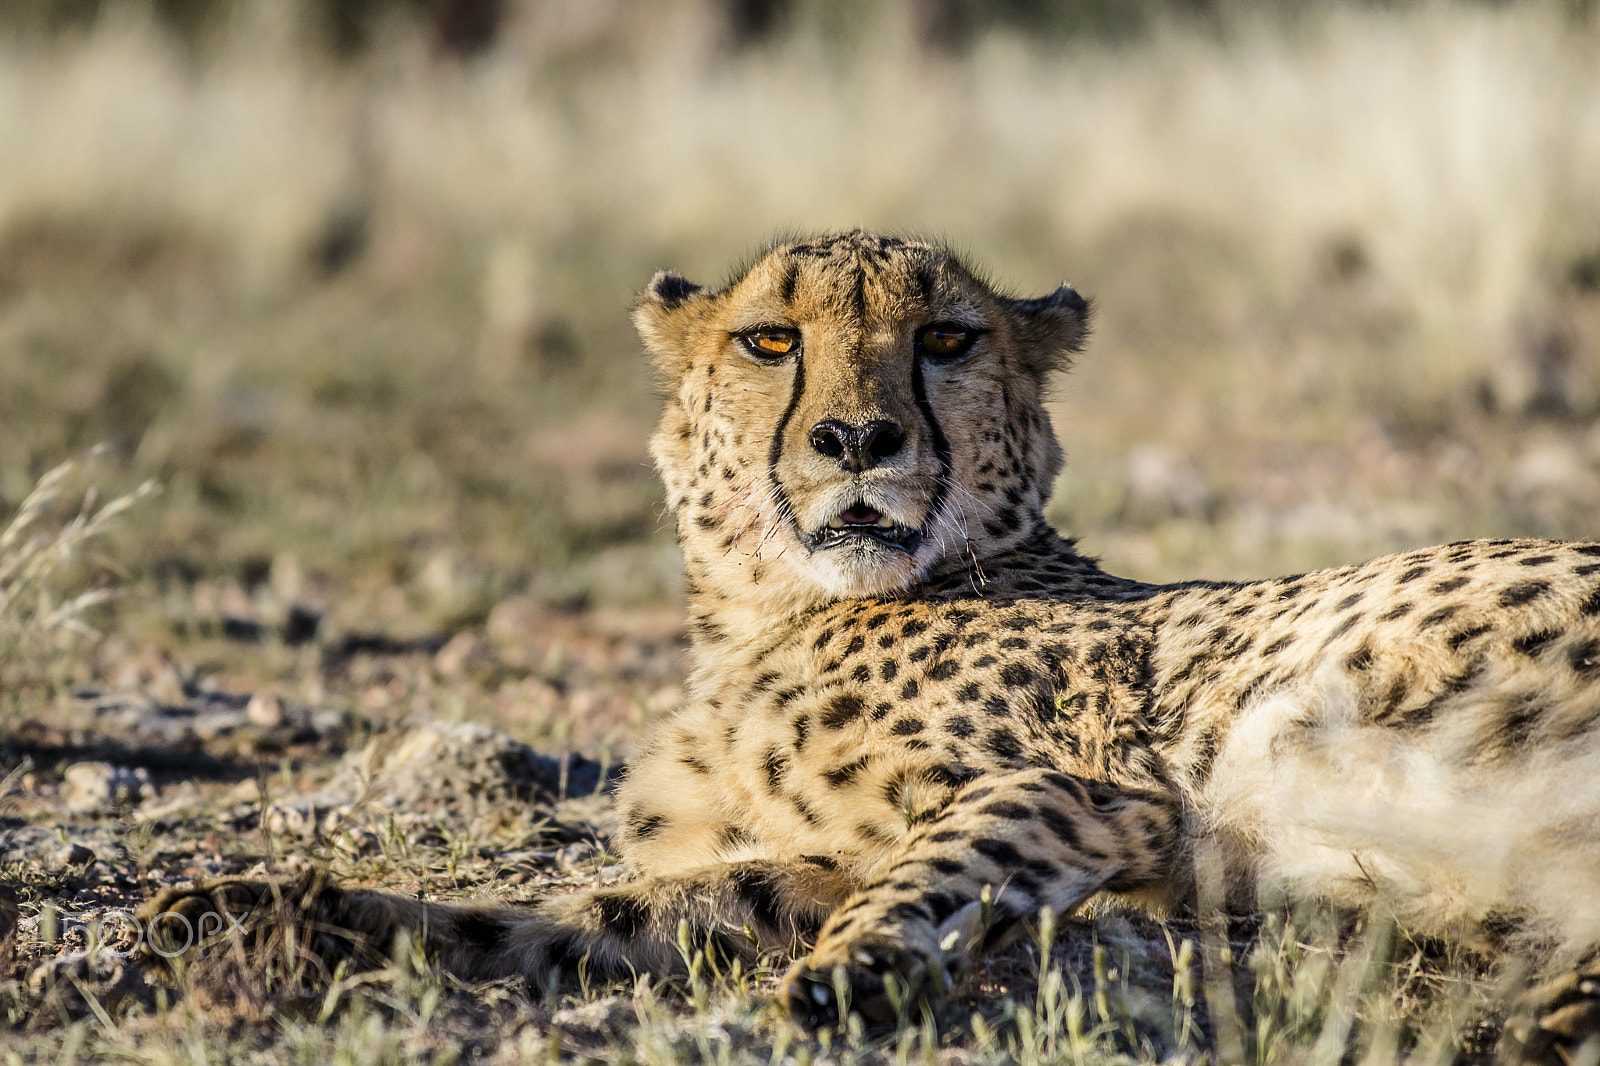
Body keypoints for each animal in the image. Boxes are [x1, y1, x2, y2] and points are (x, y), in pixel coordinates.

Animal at [140, 230, 1600, 1059]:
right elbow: (572, 916)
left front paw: (852, 974)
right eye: (768, 339)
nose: (856, 437)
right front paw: (262, 909)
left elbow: (945, 852)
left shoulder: (1112, 795)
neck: (770, 610)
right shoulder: (793, 860)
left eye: (946, 339)